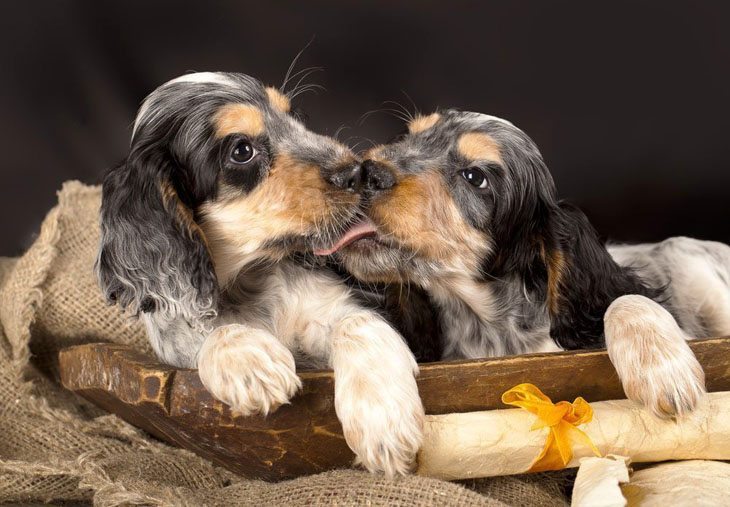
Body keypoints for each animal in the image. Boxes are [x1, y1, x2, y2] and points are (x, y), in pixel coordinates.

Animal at [99, 72, 424, 476]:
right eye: (241, 151)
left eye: (296, 117)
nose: (357, 171)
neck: (249, 278)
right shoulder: (175, 341)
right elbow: (210, 333)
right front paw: (250, 363)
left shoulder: (336, 308)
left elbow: (356, 323)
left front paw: (384, 423)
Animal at [326, 109, 728, 418]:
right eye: (409, 136)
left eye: (476, 177)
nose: (365, 172)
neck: (488, 326)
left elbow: (624, 299)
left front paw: (662, 371)